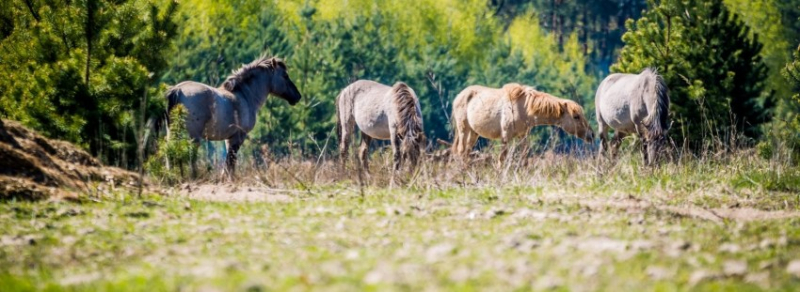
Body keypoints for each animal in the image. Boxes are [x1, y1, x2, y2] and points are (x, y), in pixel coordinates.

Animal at [164, 56, 302, 177]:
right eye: (285, 76)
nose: (298, 96)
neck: (245, 96)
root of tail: (177, 90)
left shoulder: (229, 138)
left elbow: (229, 162)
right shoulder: (238, 136)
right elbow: (231, 162)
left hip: (173, 132)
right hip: (193, 136)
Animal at [450, 82, 592, 162]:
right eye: (576, 116)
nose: (591, 135)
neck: (522, 108)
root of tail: (458, 96)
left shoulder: (523, 136)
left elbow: (524, 158)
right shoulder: (505, 137)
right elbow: (502, 158)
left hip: (474, 133)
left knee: (466, 152)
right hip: (463, 129)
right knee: (461, 151)